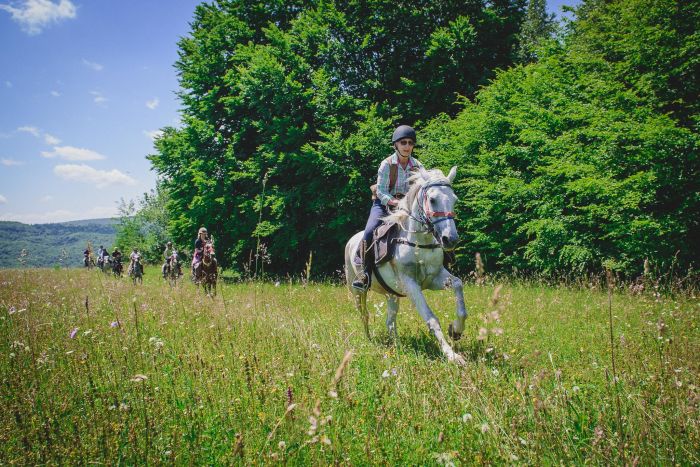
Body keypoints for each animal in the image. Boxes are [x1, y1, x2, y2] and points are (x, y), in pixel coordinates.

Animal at [346, 167, 470, 366]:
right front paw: (452, 355)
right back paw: (369, 340)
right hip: (357, 291)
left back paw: (397, 346)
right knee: (364, 314)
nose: (450, 239)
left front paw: (455, 330)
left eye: (454, 199)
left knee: (390, 321)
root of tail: (351, 240)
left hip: (391, 294)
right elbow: (431, 319)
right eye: (432, 199)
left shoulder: (434, 278)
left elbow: (458, 285)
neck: (419, 242)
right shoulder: (411, 284)